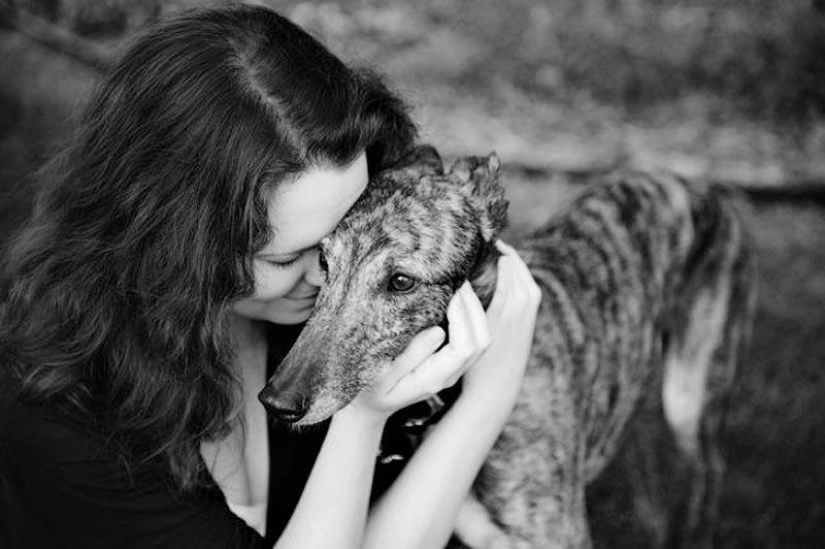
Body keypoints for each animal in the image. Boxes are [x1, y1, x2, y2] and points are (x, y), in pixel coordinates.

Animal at [258, 143, 752, 544]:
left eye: (401, 281)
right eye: (324, 261)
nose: (276, 403)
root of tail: (699, 183)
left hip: (690, 396)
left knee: (710, 469)